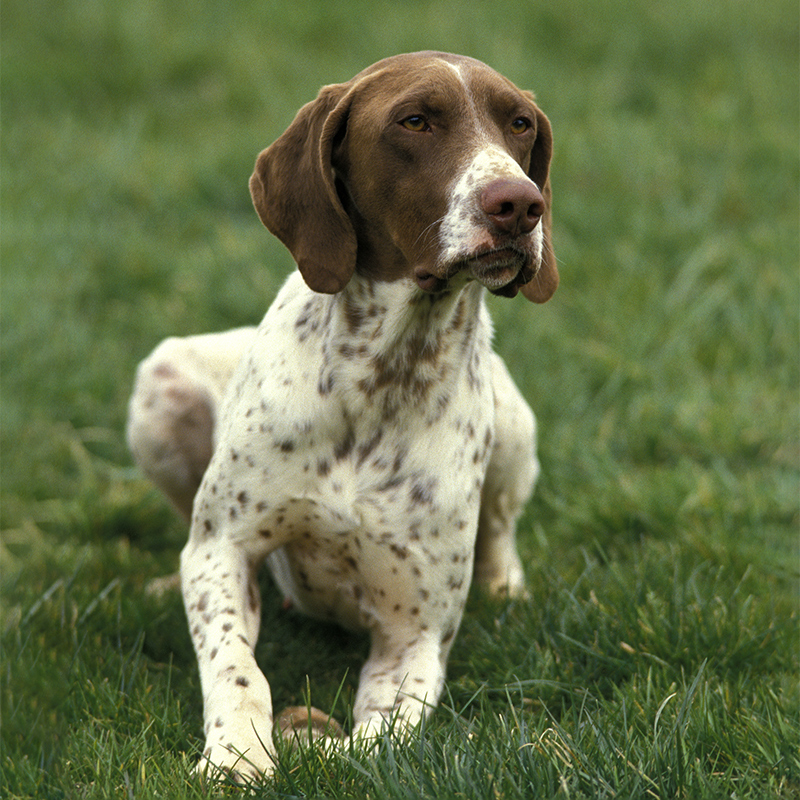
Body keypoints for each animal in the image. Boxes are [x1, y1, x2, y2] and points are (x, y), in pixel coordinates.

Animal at [128, 51, 560, 780]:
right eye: (415, 121)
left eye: (520, 124)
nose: (521, 204)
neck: (381, 376)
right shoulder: (224, 549)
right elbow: (235, 666)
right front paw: (237, 756)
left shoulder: (414, 635)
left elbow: (377, 739)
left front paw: (317, 747)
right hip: (163, 383)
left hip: (514, 426)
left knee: (501, 527)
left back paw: (507, 589)